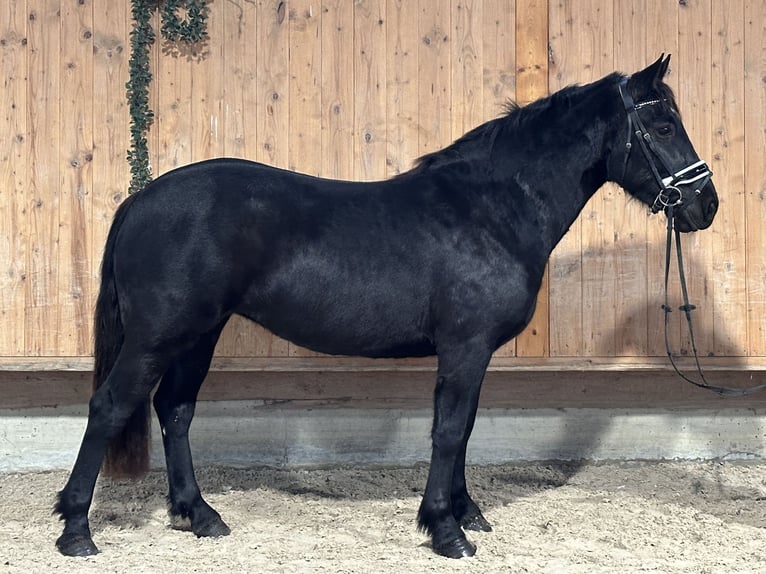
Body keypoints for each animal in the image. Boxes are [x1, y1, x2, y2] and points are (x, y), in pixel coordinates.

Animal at [55, 56, 720, 560]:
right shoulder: (465, 347)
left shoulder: (472, 353)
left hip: (200, 333)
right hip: (159, 334)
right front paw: (446, 530)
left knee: (175, 409)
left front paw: (465, 513)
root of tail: (142, 199)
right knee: (111, 406)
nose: (705, 204)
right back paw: (76, 531)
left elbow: (465, 428)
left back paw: (200, 515)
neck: (491, 210)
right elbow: (449, 430)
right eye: (662, 126)